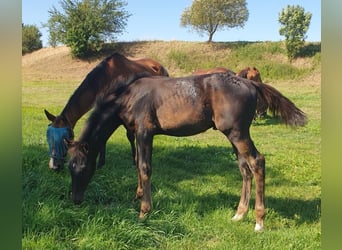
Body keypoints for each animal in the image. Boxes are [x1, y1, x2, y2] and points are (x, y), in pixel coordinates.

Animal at [67, 71, 308, 231]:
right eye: (69, 167)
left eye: (84, 167)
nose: (75, 200)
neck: (129, 96)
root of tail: (249, 82)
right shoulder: (137, 134)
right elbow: (137, 163)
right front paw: (138, 196)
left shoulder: (145, 132)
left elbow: (145, 168)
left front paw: (144, 212)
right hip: (233, 134)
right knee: (244, 168)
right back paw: (239, 214)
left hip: (238, 133)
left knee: (257, 162)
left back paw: (259, 221)